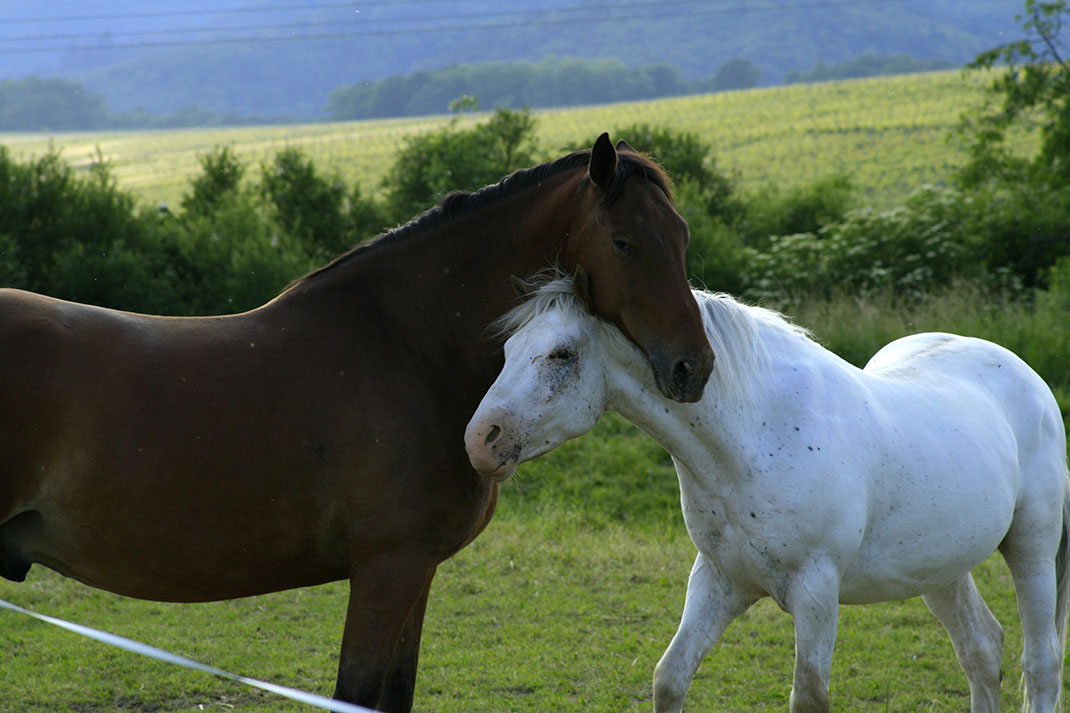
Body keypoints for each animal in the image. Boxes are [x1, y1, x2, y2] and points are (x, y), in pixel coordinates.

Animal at [0, 134, 714, 712]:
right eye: (624, 242)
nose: (693, 367)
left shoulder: (416, 572)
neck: (410, 350)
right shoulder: (387, 569)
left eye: (682, 236)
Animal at [464, 275, 1070, 713]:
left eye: (561, 354)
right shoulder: (718, 578)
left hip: (1032, 551)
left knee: (1040, 663)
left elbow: (809, 696)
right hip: (940, 568)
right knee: (981, 650)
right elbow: (670, 677)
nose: (480, 439)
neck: (752, 434)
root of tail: (1025, 377)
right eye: (511, 347)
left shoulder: (816, 590)